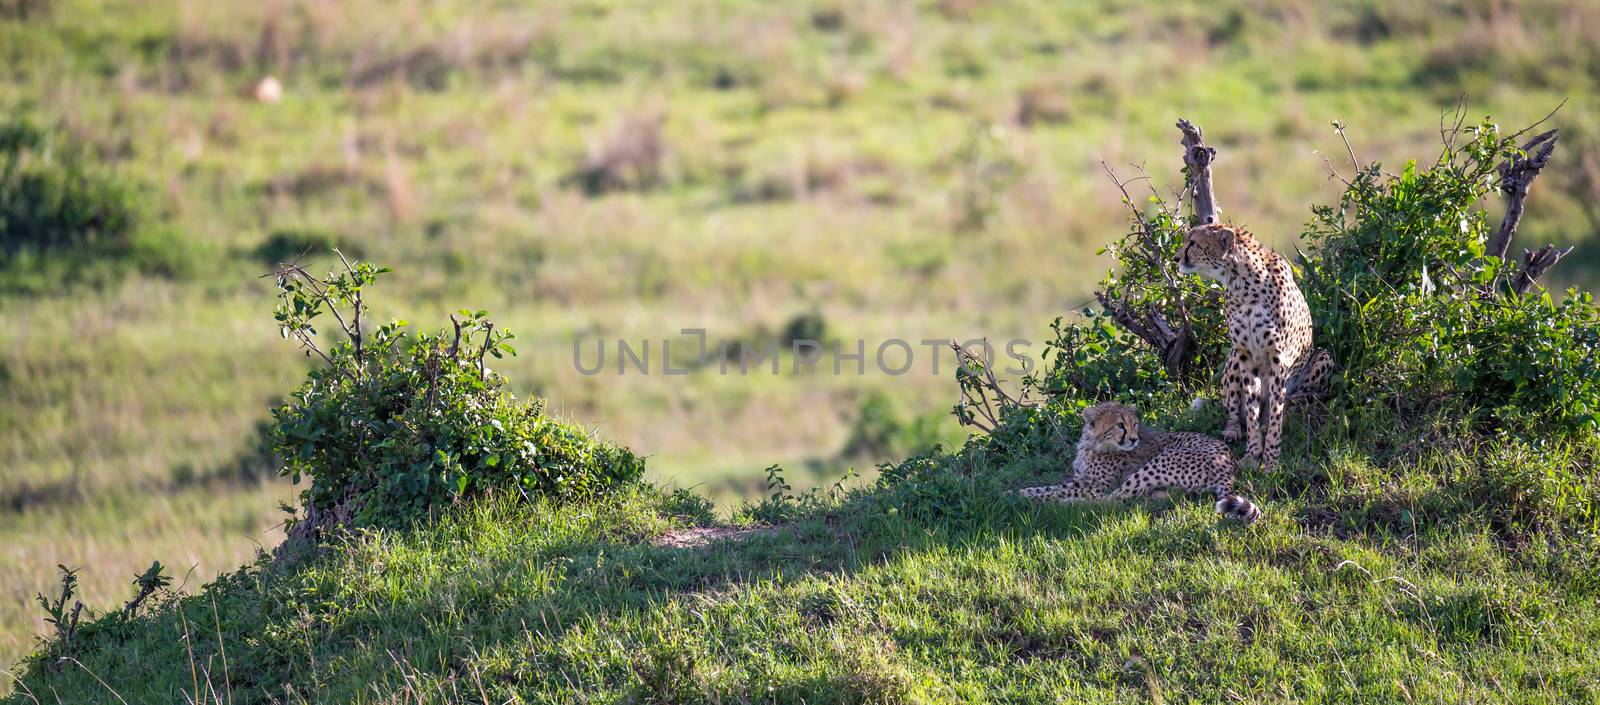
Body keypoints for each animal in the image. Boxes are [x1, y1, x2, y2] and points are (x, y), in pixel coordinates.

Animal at [1024, 401, 1260, 521]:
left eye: (1134, 424)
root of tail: (1229, 465)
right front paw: (1024, 492)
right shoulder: (1081, 479)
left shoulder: (1096, 486)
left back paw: (1070, 505)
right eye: (1120, 425)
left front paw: (1030, 497)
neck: (1094, 443)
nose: (1134, 439)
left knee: (1112, 500)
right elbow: (1052, 487)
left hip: (1160, 462)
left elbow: (1059, 491)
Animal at [1171, 222, 1331, 470]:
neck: (1243, 283)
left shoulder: (1278, 357)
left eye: (1193, 243)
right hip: (1233, 359)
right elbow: (1250, 408)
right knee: (1233, 410)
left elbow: (1275, 414)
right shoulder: (1245, 354)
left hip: (1323, 357)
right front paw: (1253, 453)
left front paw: (1271, 459)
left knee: (1294, 399)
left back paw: (1294, 402)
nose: (1176, 258)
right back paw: (1233, 430)